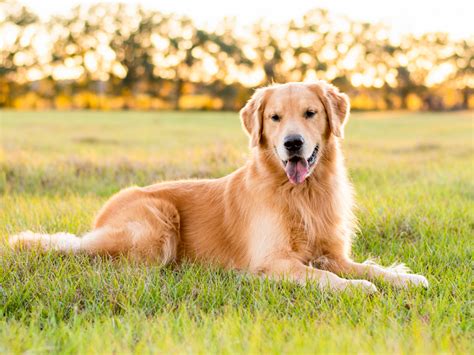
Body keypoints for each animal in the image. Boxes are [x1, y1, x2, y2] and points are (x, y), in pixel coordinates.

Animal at [9, 82, 428, 294]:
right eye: (275, 118)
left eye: (311, 113)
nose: (293, 143)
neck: (300, 194)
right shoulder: (273, 260)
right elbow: (331, 279)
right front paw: (359, 287)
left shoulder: (330, 253)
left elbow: (371, 268)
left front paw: (406, 279)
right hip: (157, 224)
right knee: (103, 261)